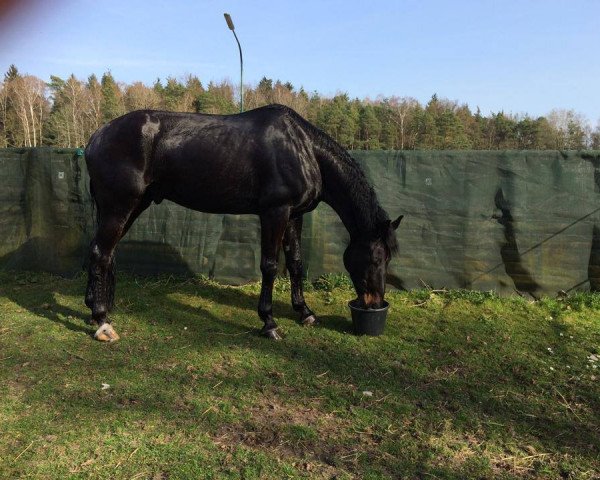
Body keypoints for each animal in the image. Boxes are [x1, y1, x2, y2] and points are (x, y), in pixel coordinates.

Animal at [83, 105, 404, 342]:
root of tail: (96, 137)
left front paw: (304, 312)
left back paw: (95, 307)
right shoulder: (275, 212)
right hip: (120, 206)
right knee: (100, 252)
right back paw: (102, 320)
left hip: (133, 205)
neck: (303, 149)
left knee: (101, 250)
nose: (375, 304)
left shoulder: (295, 215)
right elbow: (270, 266)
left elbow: (296, 263)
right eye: (377, 257)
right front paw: (269, 323)